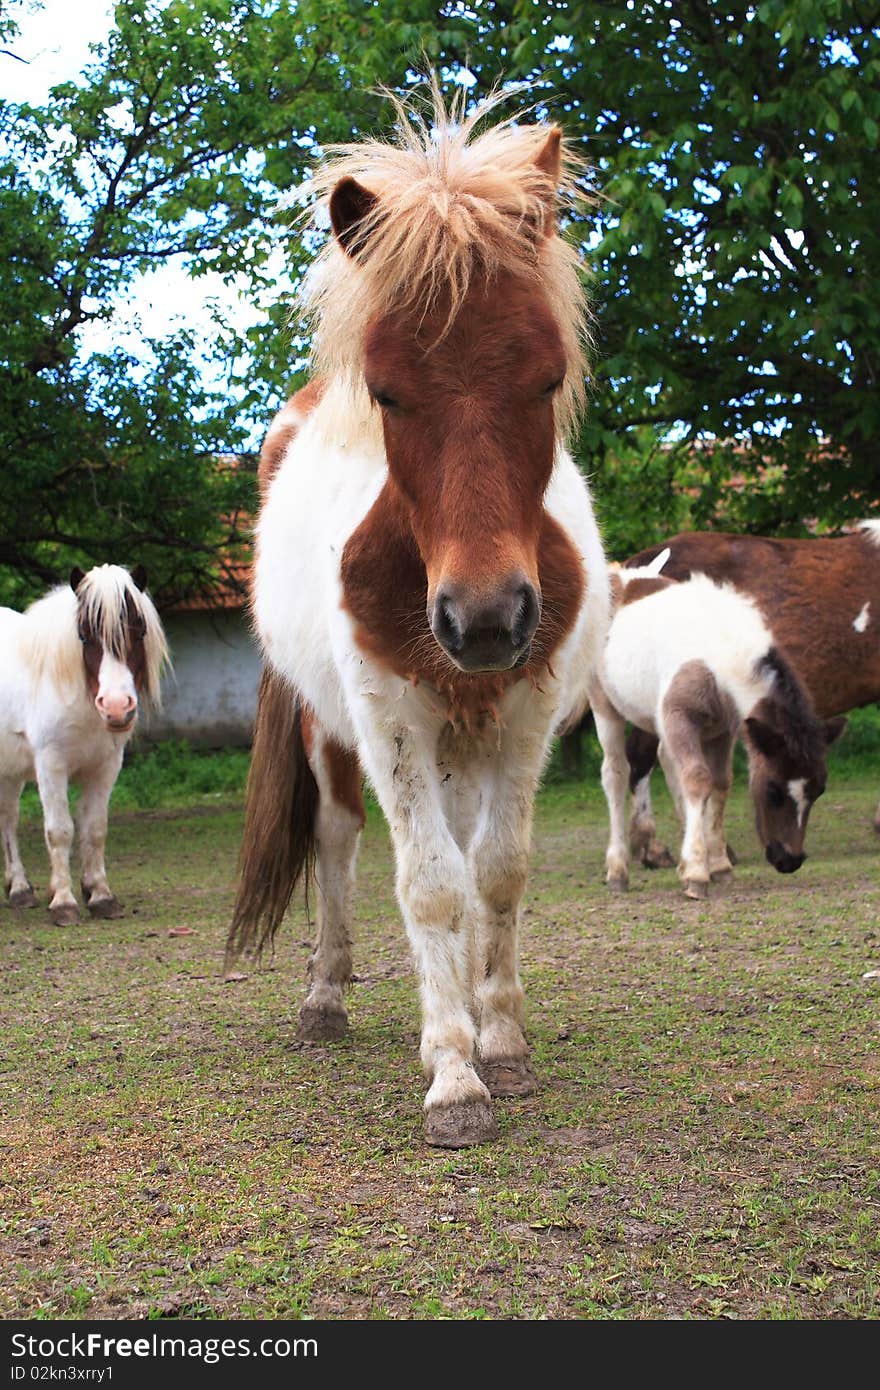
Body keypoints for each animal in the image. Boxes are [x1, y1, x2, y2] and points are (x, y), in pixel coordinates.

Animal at [0, 564, 168, 922]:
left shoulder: (106, 767)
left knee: (8, 818)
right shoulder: (51, 767)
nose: (116, 707)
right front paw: (63, 903)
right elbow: (60, 830)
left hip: (10, 772)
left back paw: (19, 889)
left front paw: (100, 895)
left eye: (139, 633)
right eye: (84, 636)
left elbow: (95, 828)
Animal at [226, 89, 611, 1150]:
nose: (484, 620)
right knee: (340, 842)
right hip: (332, 732)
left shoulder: (524, 711)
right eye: (390, 392)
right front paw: (453, 1076)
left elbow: (499, 874)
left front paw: (501, 1041)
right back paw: (327, 998)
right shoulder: (389, 714)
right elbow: (429, 883)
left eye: (547, 377)